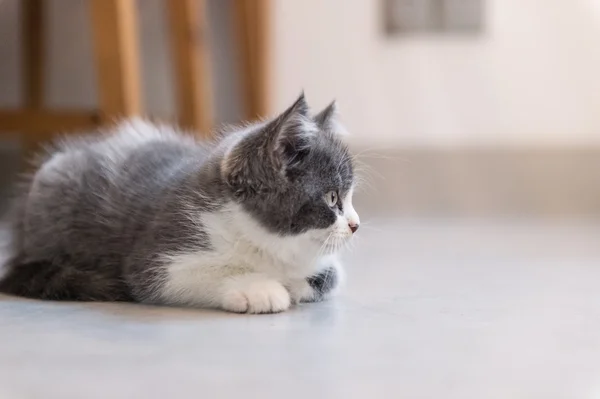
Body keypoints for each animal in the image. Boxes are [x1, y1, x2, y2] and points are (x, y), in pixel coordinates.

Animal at [0, 95, 358, 314]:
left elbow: (329, 276)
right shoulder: (158, 253)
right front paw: (258, 287)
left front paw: (295, 282)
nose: (355, 225)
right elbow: (182, 275)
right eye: (332, 198)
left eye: (351, 195)